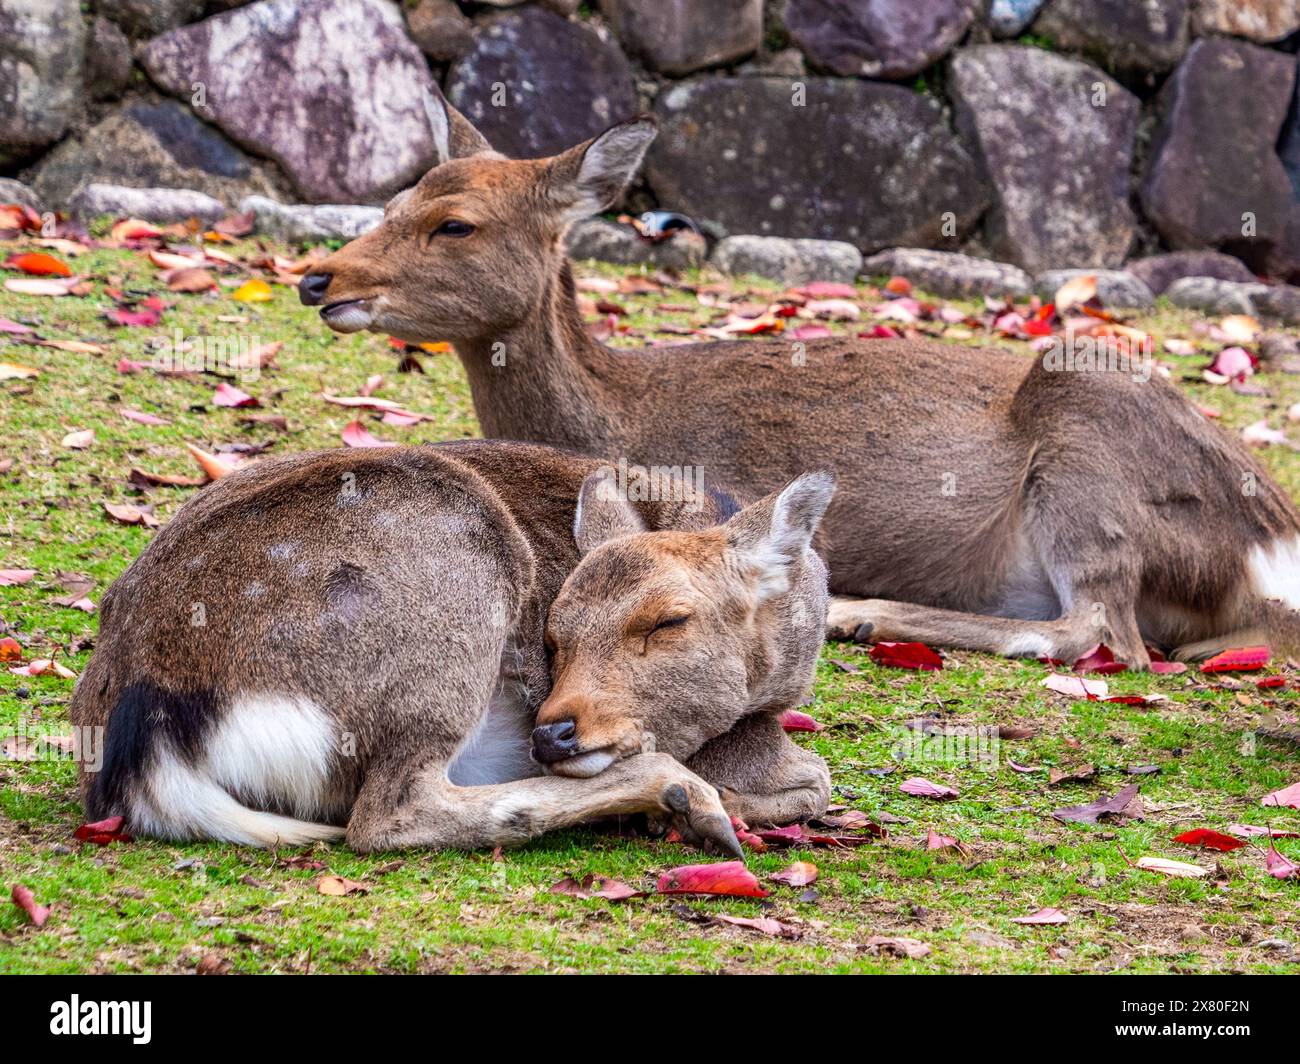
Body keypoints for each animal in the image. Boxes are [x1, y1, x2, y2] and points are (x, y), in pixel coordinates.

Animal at [71, 442, 837, 853]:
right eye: (553, 632)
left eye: (669, 621)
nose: (551, 734)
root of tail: (144, 741)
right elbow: (817, 777)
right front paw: (716, 802)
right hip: (458, 579)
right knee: (387, 814)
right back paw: (683, 799)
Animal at [297, 91, 1300, 671]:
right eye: (394, 200)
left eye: (455, 224)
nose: (318, 278)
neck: (621, 413)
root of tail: (1268, 540)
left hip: (1088, 434)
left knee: (1102, 631)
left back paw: (862, 612)